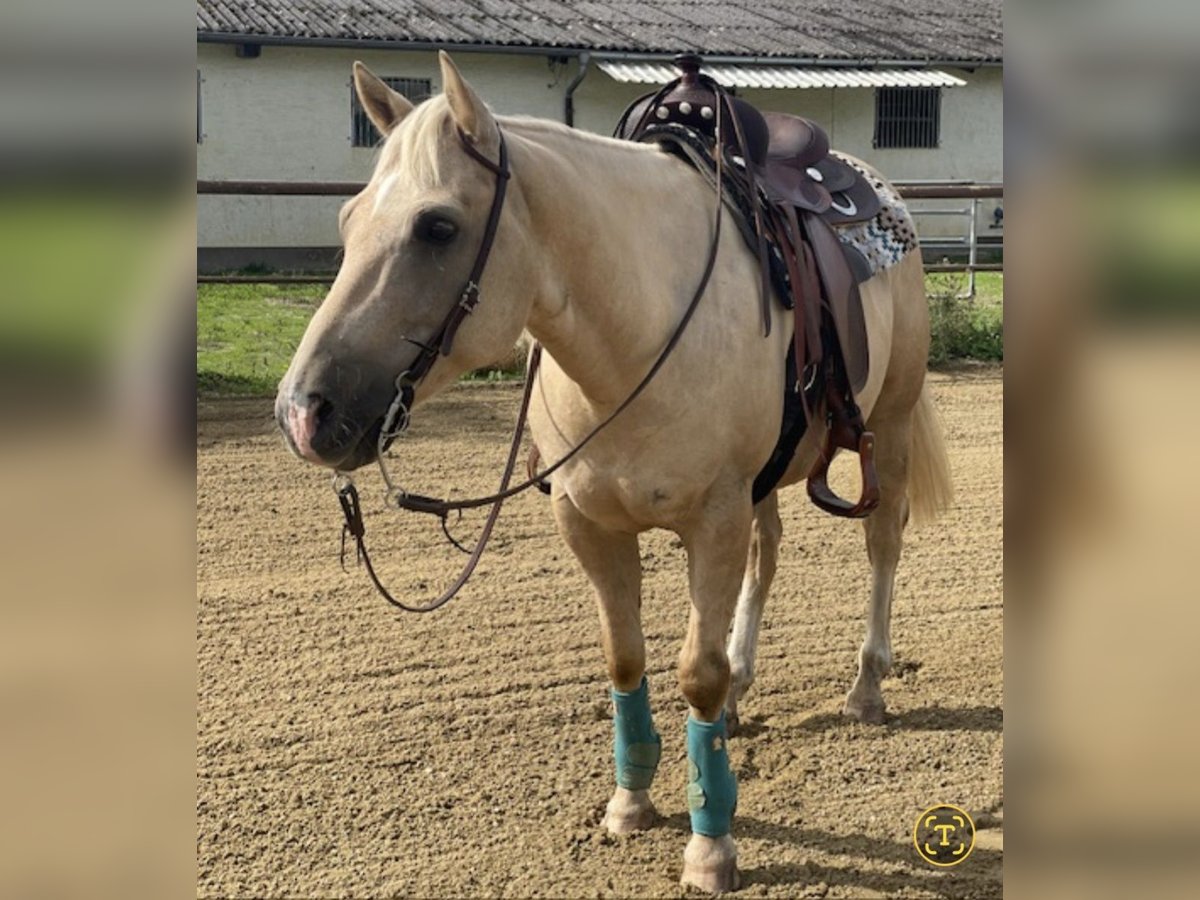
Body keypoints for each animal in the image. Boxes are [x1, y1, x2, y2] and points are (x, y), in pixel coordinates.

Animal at [276, 54, 950, 897]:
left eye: (438, 226)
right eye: (347, 220)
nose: (303, 411)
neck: (636, 334)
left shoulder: (713, 518)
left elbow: (696, 672)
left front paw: (710, 843)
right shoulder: (589, 522)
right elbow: (625, 658)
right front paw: (631, 803)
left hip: (886, 425)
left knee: (882, 543)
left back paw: (866, 688)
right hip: (764, 483)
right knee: (768, 555)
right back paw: (746, 688)